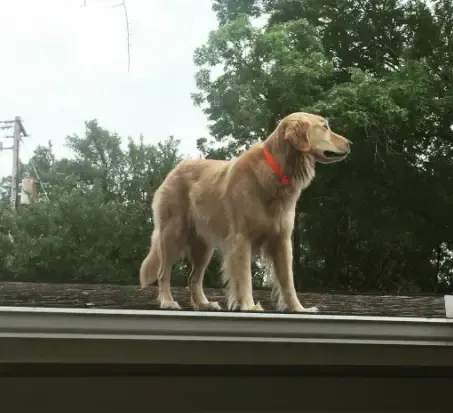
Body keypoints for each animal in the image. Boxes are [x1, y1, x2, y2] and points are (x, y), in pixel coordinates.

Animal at [139, 111, 350, 310]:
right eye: (325, 127)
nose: (350, 143)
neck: (278, 170)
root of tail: (174, 170)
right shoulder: (242, 238)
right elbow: (245, 277)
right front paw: (249, 306)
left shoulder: (281, 240)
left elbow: (288, 282)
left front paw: (299, 309)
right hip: (172, 235)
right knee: (163, 272)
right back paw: (168, 301)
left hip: (203, 247)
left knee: (194, 278)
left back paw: (204, 304)